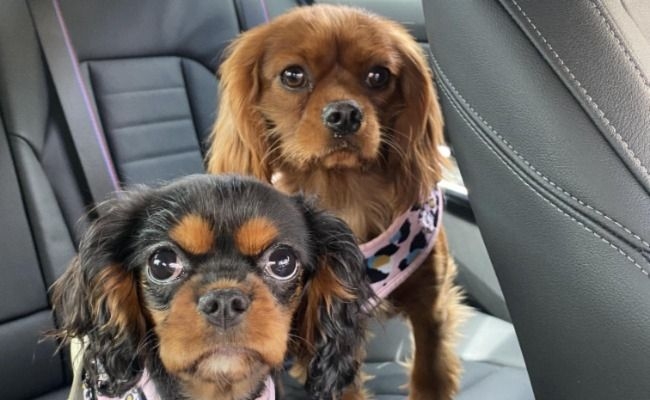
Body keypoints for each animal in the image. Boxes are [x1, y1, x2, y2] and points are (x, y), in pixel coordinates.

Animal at [205, 3, 464, 400]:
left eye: (378, 75)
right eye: (293, 75)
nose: (344, 114)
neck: (345, 191)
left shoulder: (430, 301)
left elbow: (430, 370)